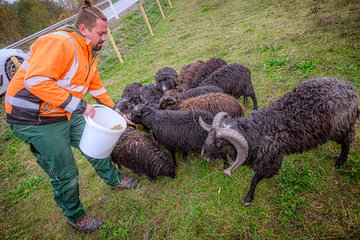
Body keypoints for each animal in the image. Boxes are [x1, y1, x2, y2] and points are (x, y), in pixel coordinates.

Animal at [198, 76, 358, 204]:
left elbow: (255, 179)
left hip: (340, 127)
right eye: (208, 137)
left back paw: (340, 162)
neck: (256, 131)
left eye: (219, 143)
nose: (204, 155)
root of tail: (350, 89)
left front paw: (248, 198)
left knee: (347, 141)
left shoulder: (271, 161)